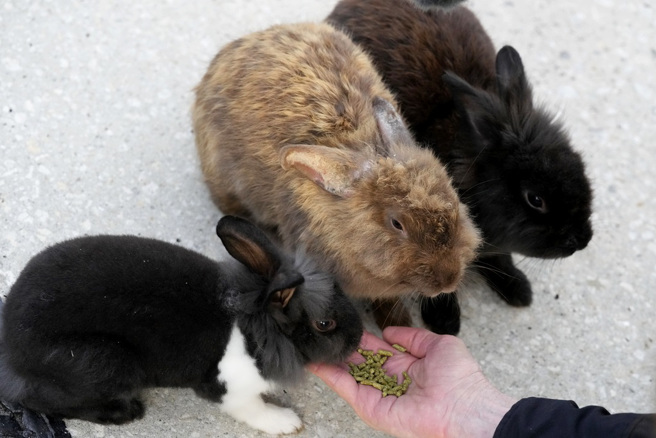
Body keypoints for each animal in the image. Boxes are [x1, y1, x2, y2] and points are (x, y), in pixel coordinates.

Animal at [0, 215, 363, 435]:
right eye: (325, 323)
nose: (358, 338)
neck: (255, 323)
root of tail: (11, 350)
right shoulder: (229, 388)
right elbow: (252, 408)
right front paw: (287, 422)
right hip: (104, 363)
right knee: (40, 401)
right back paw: (127, 412)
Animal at [327, 0, 593, 334]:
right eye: (535, 199)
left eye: (580, 164)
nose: (582, 241)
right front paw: (445, 322)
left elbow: (499, 258)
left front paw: (518, 290)